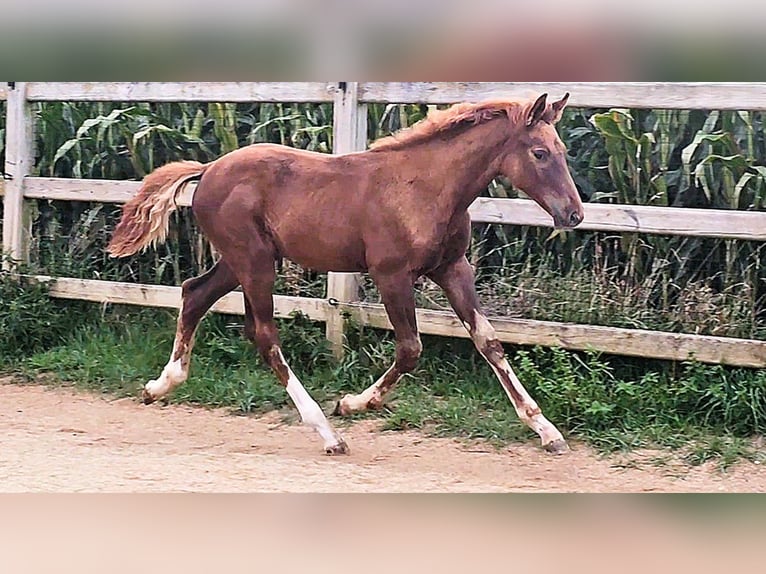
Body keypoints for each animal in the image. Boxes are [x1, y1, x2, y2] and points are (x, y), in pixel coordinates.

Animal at [107, 93, 584, 456]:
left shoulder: (453, 269)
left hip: (239, 261)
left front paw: (547, 431)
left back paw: (159, 386)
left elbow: (489, 341)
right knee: (263, 334)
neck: (427, 187)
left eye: (564, 151)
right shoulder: (391, 274)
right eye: (539, 153)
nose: (573, 215)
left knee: (194, 293)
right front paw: (351, 404)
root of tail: (208, 170)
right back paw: (327, 431)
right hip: (253, 262)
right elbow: (410, 349)